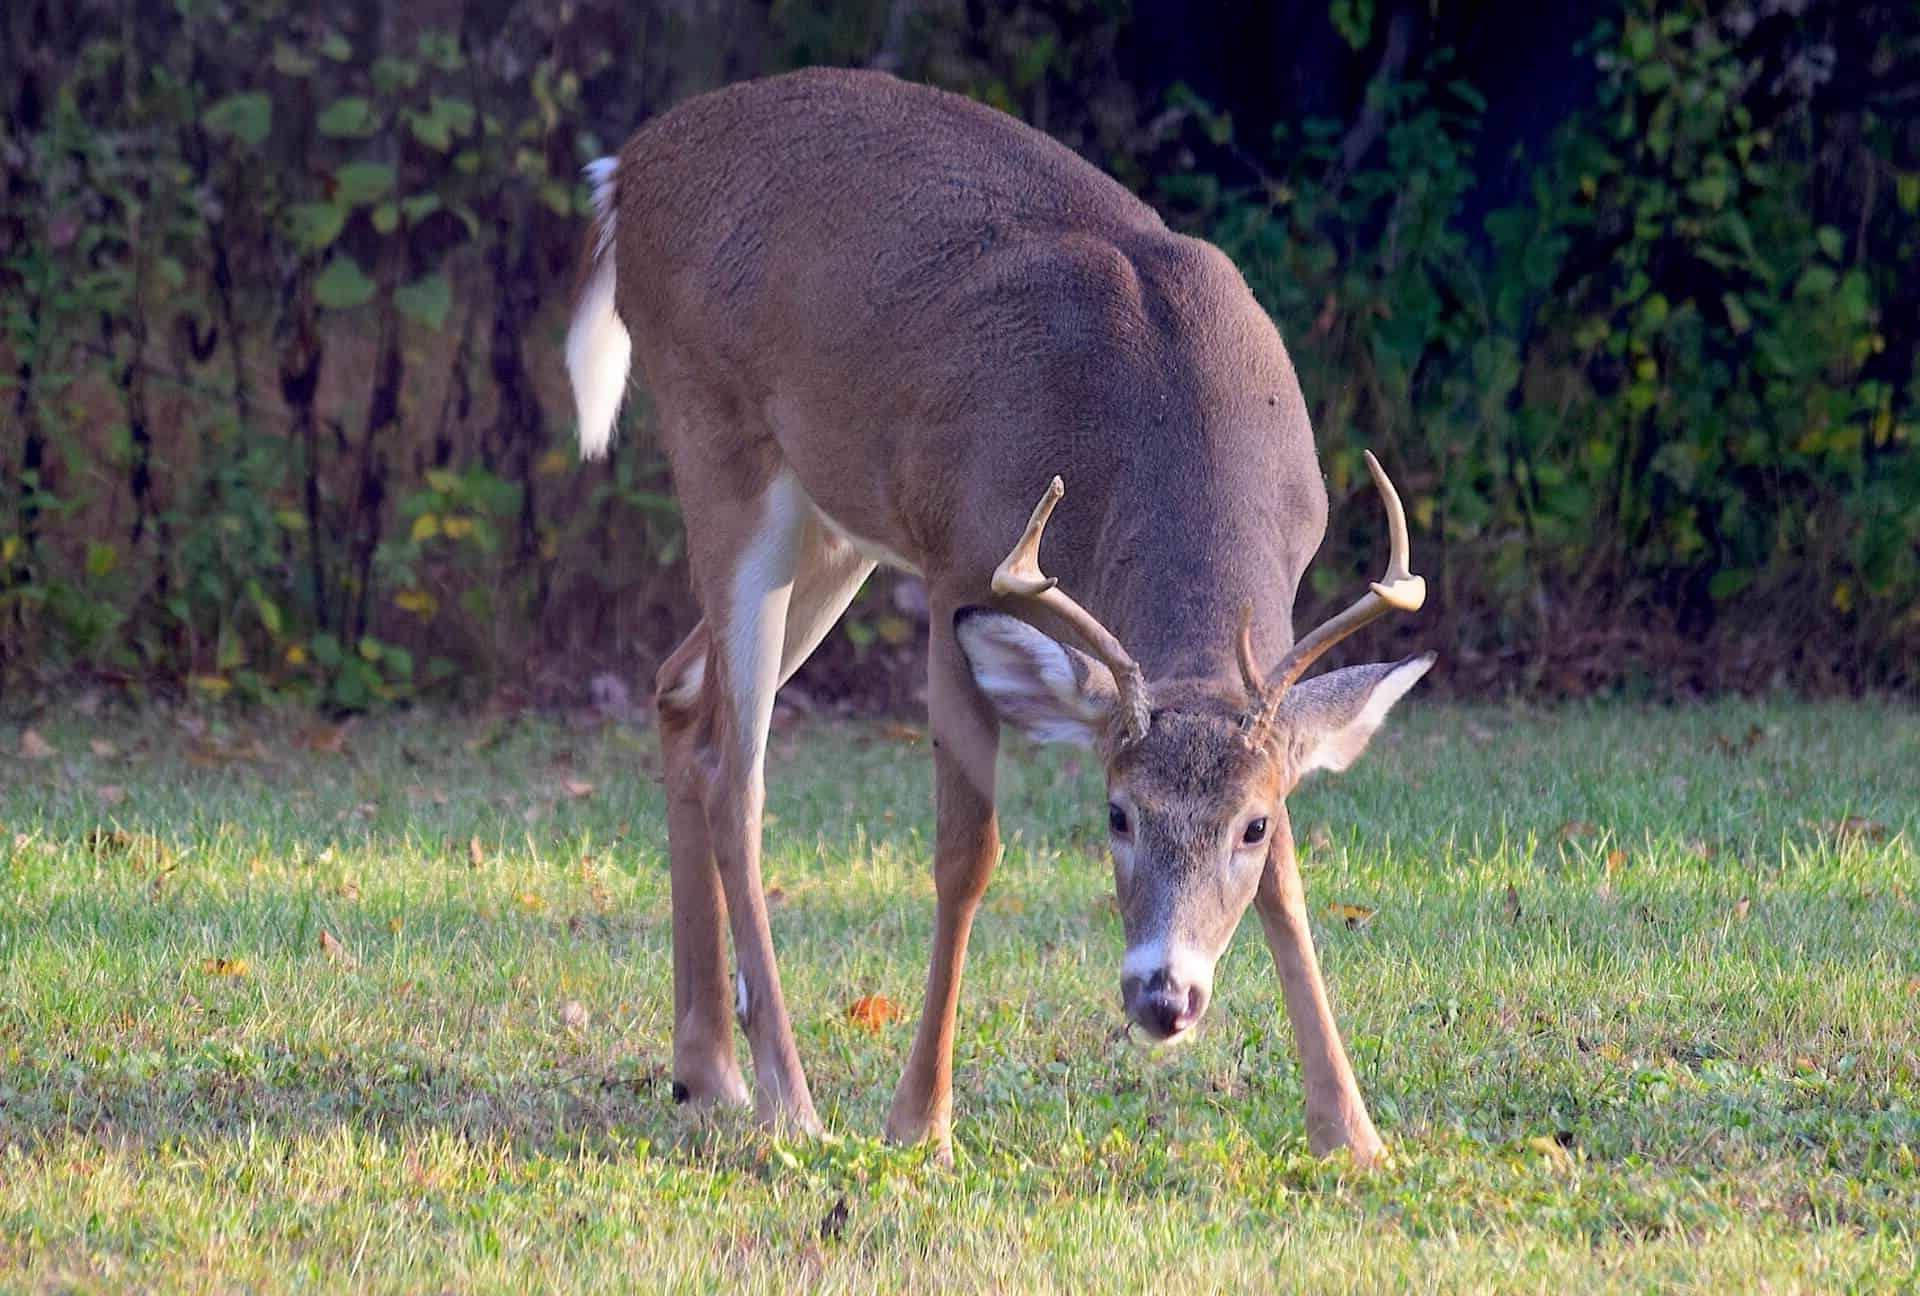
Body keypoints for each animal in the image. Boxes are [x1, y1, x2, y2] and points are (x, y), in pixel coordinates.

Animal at [560, 63, 1436, 1167]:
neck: (1158, 427)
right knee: (736, 770)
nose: (1163, 1000)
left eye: (1252, 823)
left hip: (836, 522)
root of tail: (622, 175)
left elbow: (1289, 882)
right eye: (1115, 813)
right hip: (719, 441)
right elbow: (966, 854)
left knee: (681, 692)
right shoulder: (958, 565)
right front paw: (918, 1122)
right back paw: (787, 1100)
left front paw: (1350, 1131)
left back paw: (706, 1072)